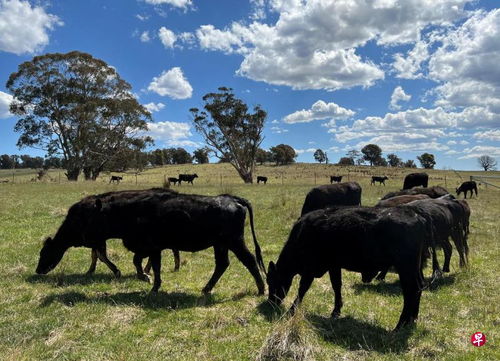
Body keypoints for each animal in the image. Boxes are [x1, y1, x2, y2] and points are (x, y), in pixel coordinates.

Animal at [35, 187, 268, 294]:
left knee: (249, 261)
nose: (38, 270)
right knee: (222, 264)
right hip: (220, 245)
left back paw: (260, 289)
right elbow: (150, 264)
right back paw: (206, 289)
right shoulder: (153, 248)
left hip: (235, 241)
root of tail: (232, 198)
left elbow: (139, 262)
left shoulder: (147, 246)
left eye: (44, 253)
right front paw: (153, 284)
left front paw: (144, 278)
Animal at [268, 204, 432, 330]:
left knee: (411, 291)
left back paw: (400, 325)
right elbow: (336, 285)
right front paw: (336, 310)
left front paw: (292, 309)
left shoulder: (310, 268)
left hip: (406, 268)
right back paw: (412, 319)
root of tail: (417, 216)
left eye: (272, 281)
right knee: (419, 287)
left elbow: (303, 289)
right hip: (415, 268)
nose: (271, 301)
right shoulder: (333, 265)